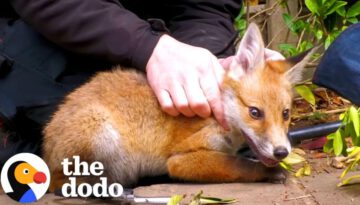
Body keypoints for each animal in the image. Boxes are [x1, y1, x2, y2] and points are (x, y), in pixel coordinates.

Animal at [42, 23, 314, 191]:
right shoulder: (182, 158)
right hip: (102, 134)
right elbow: (240, 165)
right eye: (255, 112)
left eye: (286, 114)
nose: (282, 152)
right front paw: (270, 172)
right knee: (62, 183)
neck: (220, 118)